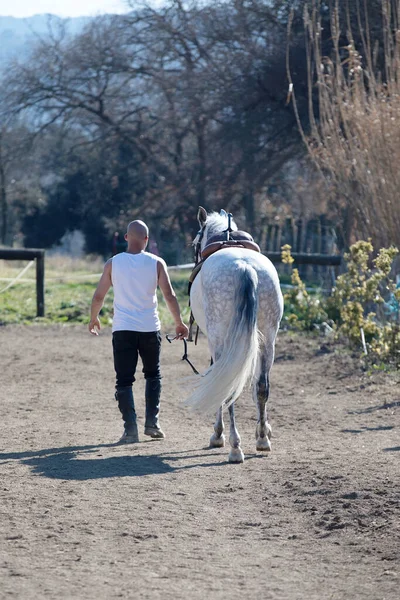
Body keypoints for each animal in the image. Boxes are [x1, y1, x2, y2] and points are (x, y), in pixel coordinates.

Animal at [185, 206, 282, 464]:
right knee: (262, 385)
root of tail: (244, 267)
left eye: (195, 242)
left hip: (221, 338)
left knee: (227, 385)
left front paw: (217, 434)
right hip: (268, 337)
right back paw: (262, 439)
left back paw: (235, 447)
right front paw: (264, 429)